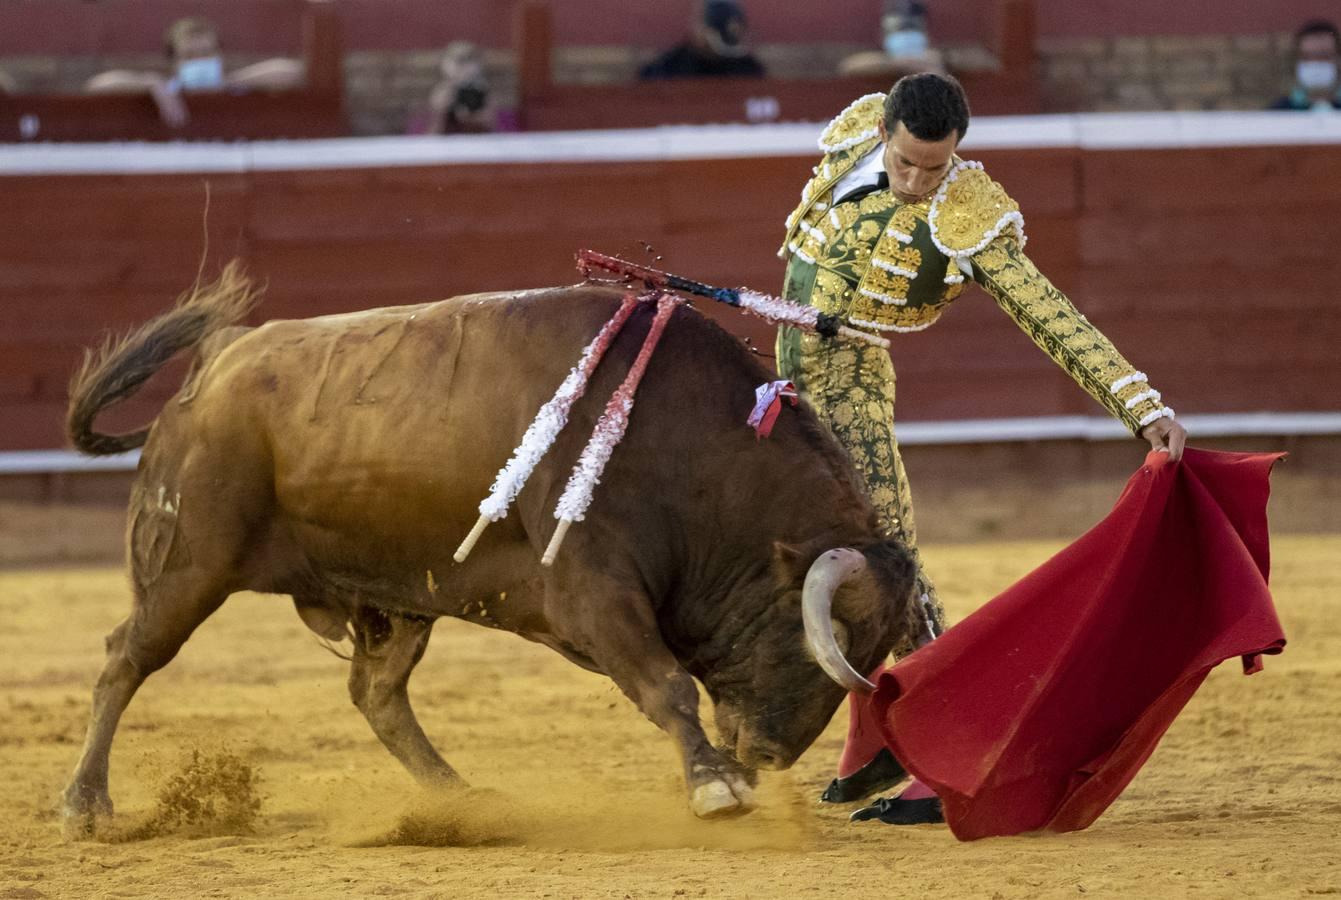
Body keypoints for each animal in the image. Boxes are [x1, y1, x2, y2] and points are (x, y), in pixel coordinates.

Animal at [63, 265, 922, 831]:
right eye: (825, 637)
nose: (768, 756)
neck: (695, 453)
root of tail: (214, 367)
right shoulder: (591, 590)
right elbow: (666, 684)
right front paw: (715, 787)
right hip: (191, 564)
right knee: (126, 657)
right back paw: (86, 805)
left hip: (396, 594)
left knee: (377, 695)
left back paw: (458, 798)